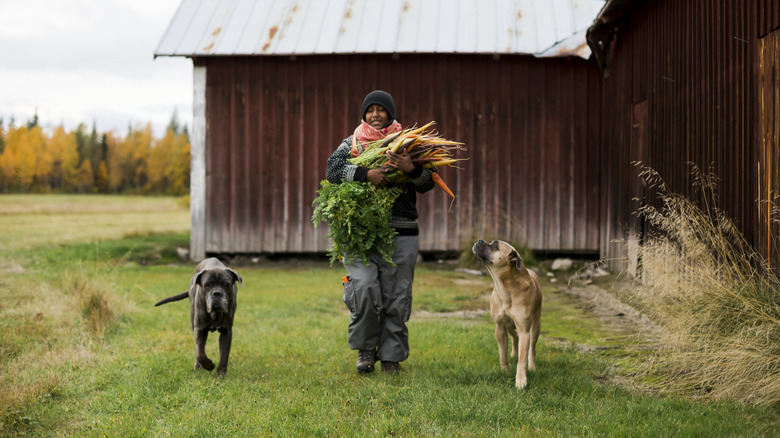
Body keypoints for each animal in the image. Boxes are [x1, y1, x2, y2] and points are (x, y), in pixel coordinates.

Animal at [472, 240, 540, 386]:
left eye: (495, 245)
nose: (480, 240)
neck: (505, 288)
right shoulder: (500, 328)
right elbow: (502, 354)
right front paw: (505, 372)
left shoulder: (524, 330)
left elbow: (522, 359)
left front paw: (521, 380)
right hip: (509, 326)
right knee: (514, 336)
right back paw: (514, 353)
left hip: (535, 326)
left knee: (532, 348)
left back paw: (532, 366)